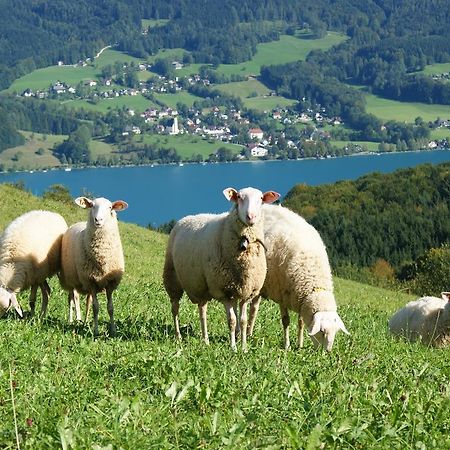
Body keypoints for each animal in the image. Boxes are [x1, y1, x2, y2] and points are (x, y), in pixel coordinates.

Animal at [59, 195, 127, 336]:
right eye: (92, 205)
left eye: (110, 207)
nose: (98, 220)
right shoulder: (91, 282)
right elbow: (96, 307)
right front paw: (95, 331)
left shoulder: (109, 282)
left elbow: (110, 308)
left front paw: (113, 331)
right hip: (71, 279)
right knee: (73, 299)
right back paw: (73, 320)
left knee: (87, 301)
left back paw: (84, 322)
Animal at [163, 186, 280, 352]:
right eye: (239, 197)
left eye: (261, 198)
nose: (251, 216)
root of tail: (186, 218)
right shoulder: (224, 291)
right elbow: (231, 320)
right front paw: (233, 347)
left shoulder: (246, 291)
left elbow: (243, 321)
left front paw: (244, 348)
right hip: (172, 277)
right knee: (175, 308)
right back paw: (178, 336)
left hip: (201, 284)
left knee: (202, 311)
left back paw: (205, 340)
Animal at [248, 204, 350, 352]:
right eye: (321, 331)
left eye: (335, 332)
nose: (327, 352)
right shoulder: (282, 295)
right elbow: (286, 321)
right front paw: (287, 345)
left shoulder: (299, 299)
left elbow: (301, 322)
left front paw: (300, 344)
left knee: (254, 307)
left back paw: (249, 333)